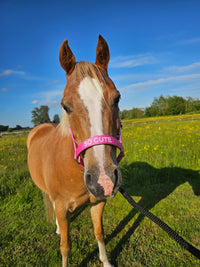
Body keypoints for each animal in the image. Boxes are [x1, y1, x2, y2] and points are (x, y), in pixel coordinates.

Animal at [26, 36, 123, 267]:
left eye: (117, 98)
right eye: (65, 106)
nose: (104, 181)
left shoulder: (98, 202)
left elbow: (99, 233)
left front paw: (106, 262)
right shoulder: (62, 207)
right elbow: (65, 246)